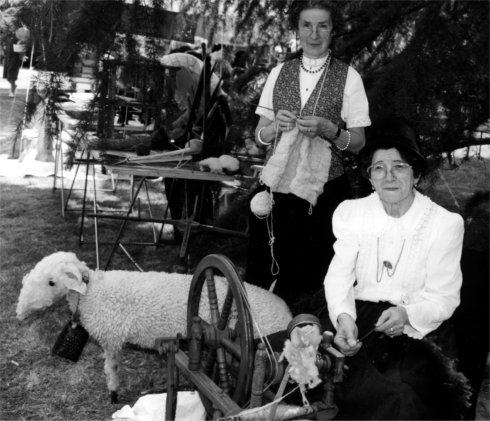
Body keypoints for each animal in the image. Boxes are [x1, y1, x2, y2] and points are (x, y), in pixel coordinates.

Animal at [16, 251, 292, 403]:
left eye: (51, 282)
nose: (19, 313)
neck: (93, 292)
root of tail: (287, 315)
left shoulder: (111, 339)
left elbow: (112, 370)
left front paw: (113, 395)